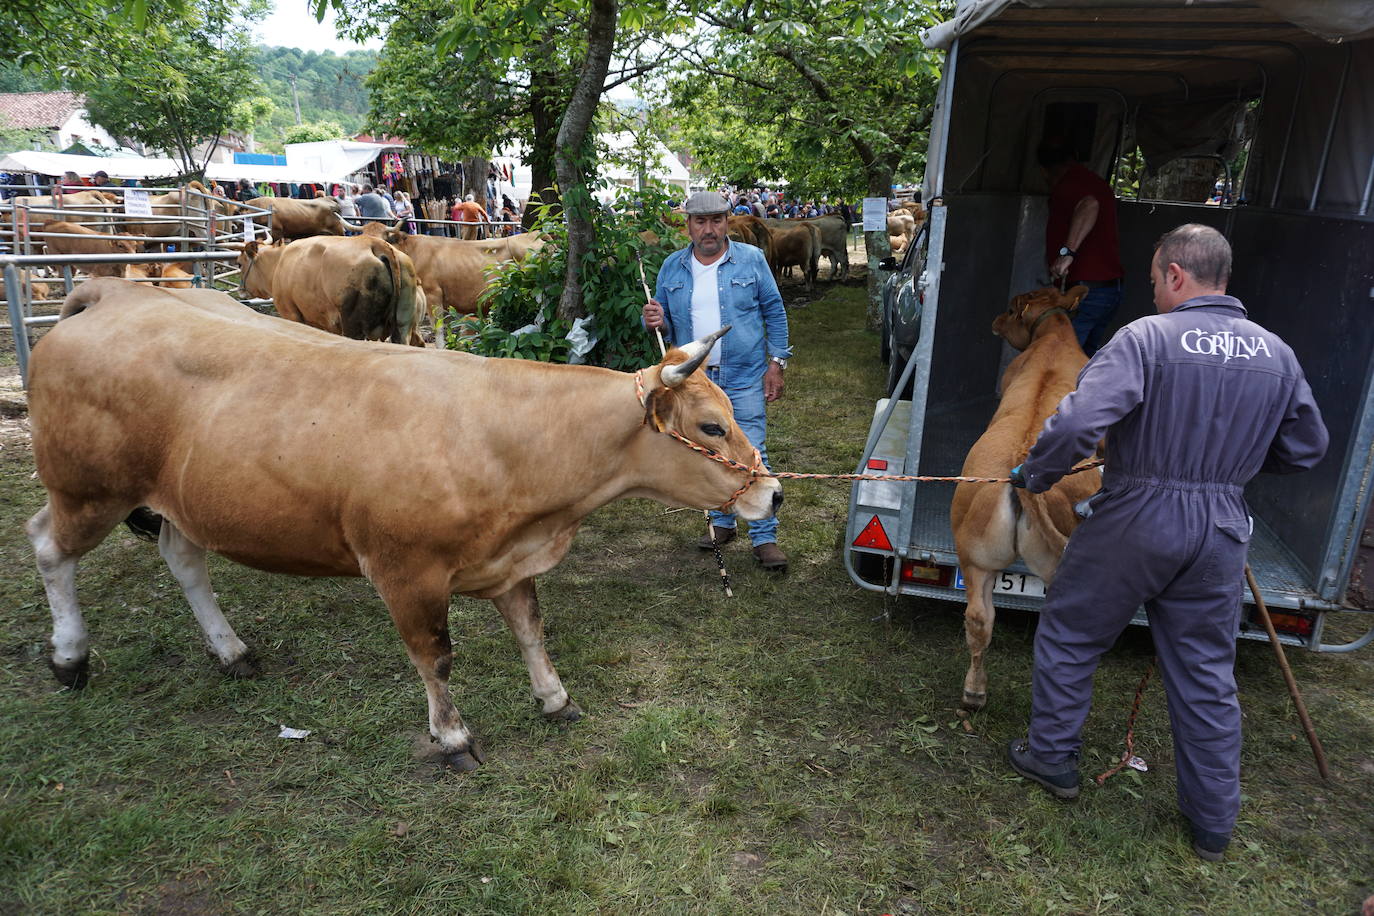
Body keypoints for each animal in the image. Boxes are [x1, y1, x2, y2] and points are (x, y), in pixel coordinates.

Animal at [26, 282, 780, 769]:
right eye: (711, 425)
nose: (771, 493)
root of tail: (113, 296)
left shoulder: (510, 558)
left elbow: (530, 631)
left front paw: (554, 699)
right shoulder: (405, 570)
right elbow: (435, 657)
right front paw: (452, 739)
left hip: (185, 496)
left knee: (184, 559)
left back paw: (231, 651)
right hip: (87, 490)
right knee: (47, 547)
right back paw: (69, 657)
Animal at [236, 236, 420, 347]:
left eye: (239, 263)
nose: (240, 290)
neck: (279, 262)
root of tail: (375, 243)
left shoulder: (291, 314)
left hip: (353, 327)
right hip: (403, 326)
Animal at [950, 287, 1099, 708]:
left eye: (1011, 308)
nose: (996, 321)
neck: (1053, 335)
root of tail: (1024, 470)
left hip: (975, 555)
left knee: (979, 619)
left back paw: (974, 692)